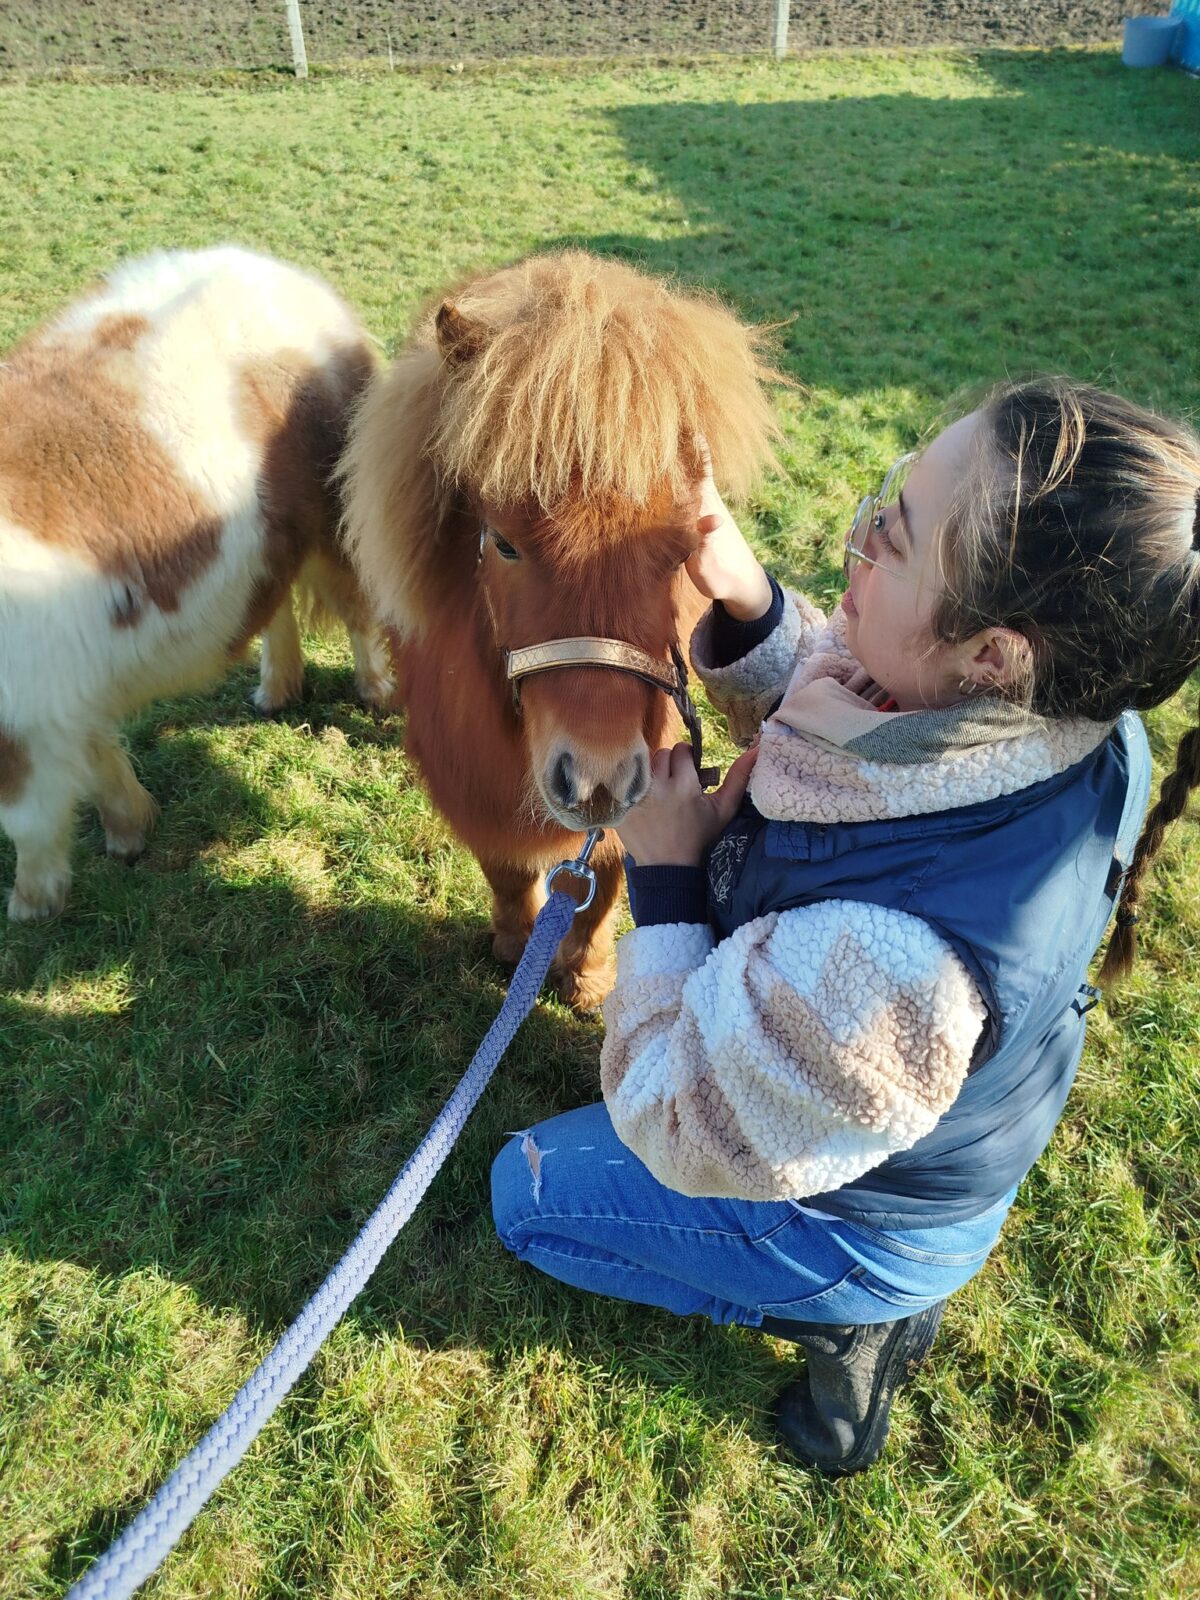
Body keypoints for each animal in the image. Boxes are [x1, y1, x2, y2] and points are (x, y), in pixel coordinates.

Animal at [0, 245, 391, 922]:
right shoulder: (59, 697)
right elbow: (95, 756)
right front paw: (131, 831)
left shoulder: (25, 722)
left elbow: (28, 820)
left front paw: (30, 905)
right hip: (269, 539)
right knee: (275, 602)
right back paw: (276, 692)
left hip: (337, 510)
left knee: (357, 607)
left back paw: (376, 692)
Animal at [341, 251, 780, 1009]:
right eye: (503, 544)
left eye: (683, 550)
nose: (596, 781)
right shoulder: (469, 777)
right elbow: (506, 865)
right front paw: (515, 943)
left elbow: (604, 876)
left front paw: (587, 976)